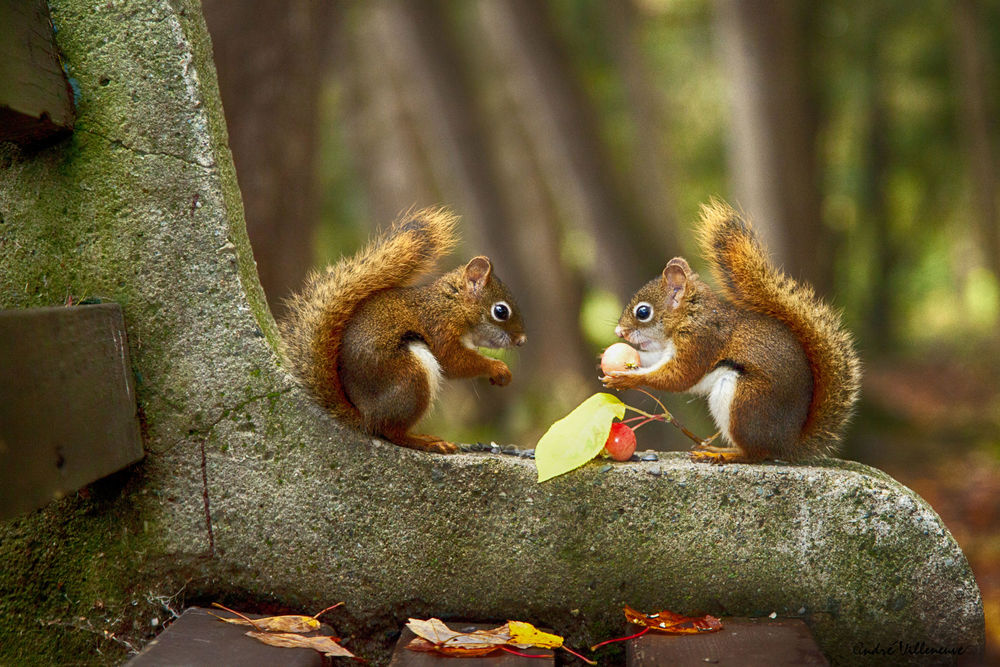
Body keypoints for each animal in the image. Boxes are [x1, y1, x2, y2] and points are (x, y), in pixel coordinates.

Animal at [600, 201, 860, 468]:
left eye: (643, 312)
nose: (619, 331)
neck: (689, 315)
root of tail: (786, 445)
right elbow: (654, 360)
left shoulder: (701, 340)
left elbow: (679, 376)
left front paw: (626, 379)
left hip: (743, 400)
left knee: (754, 454)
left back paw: (719, 453)